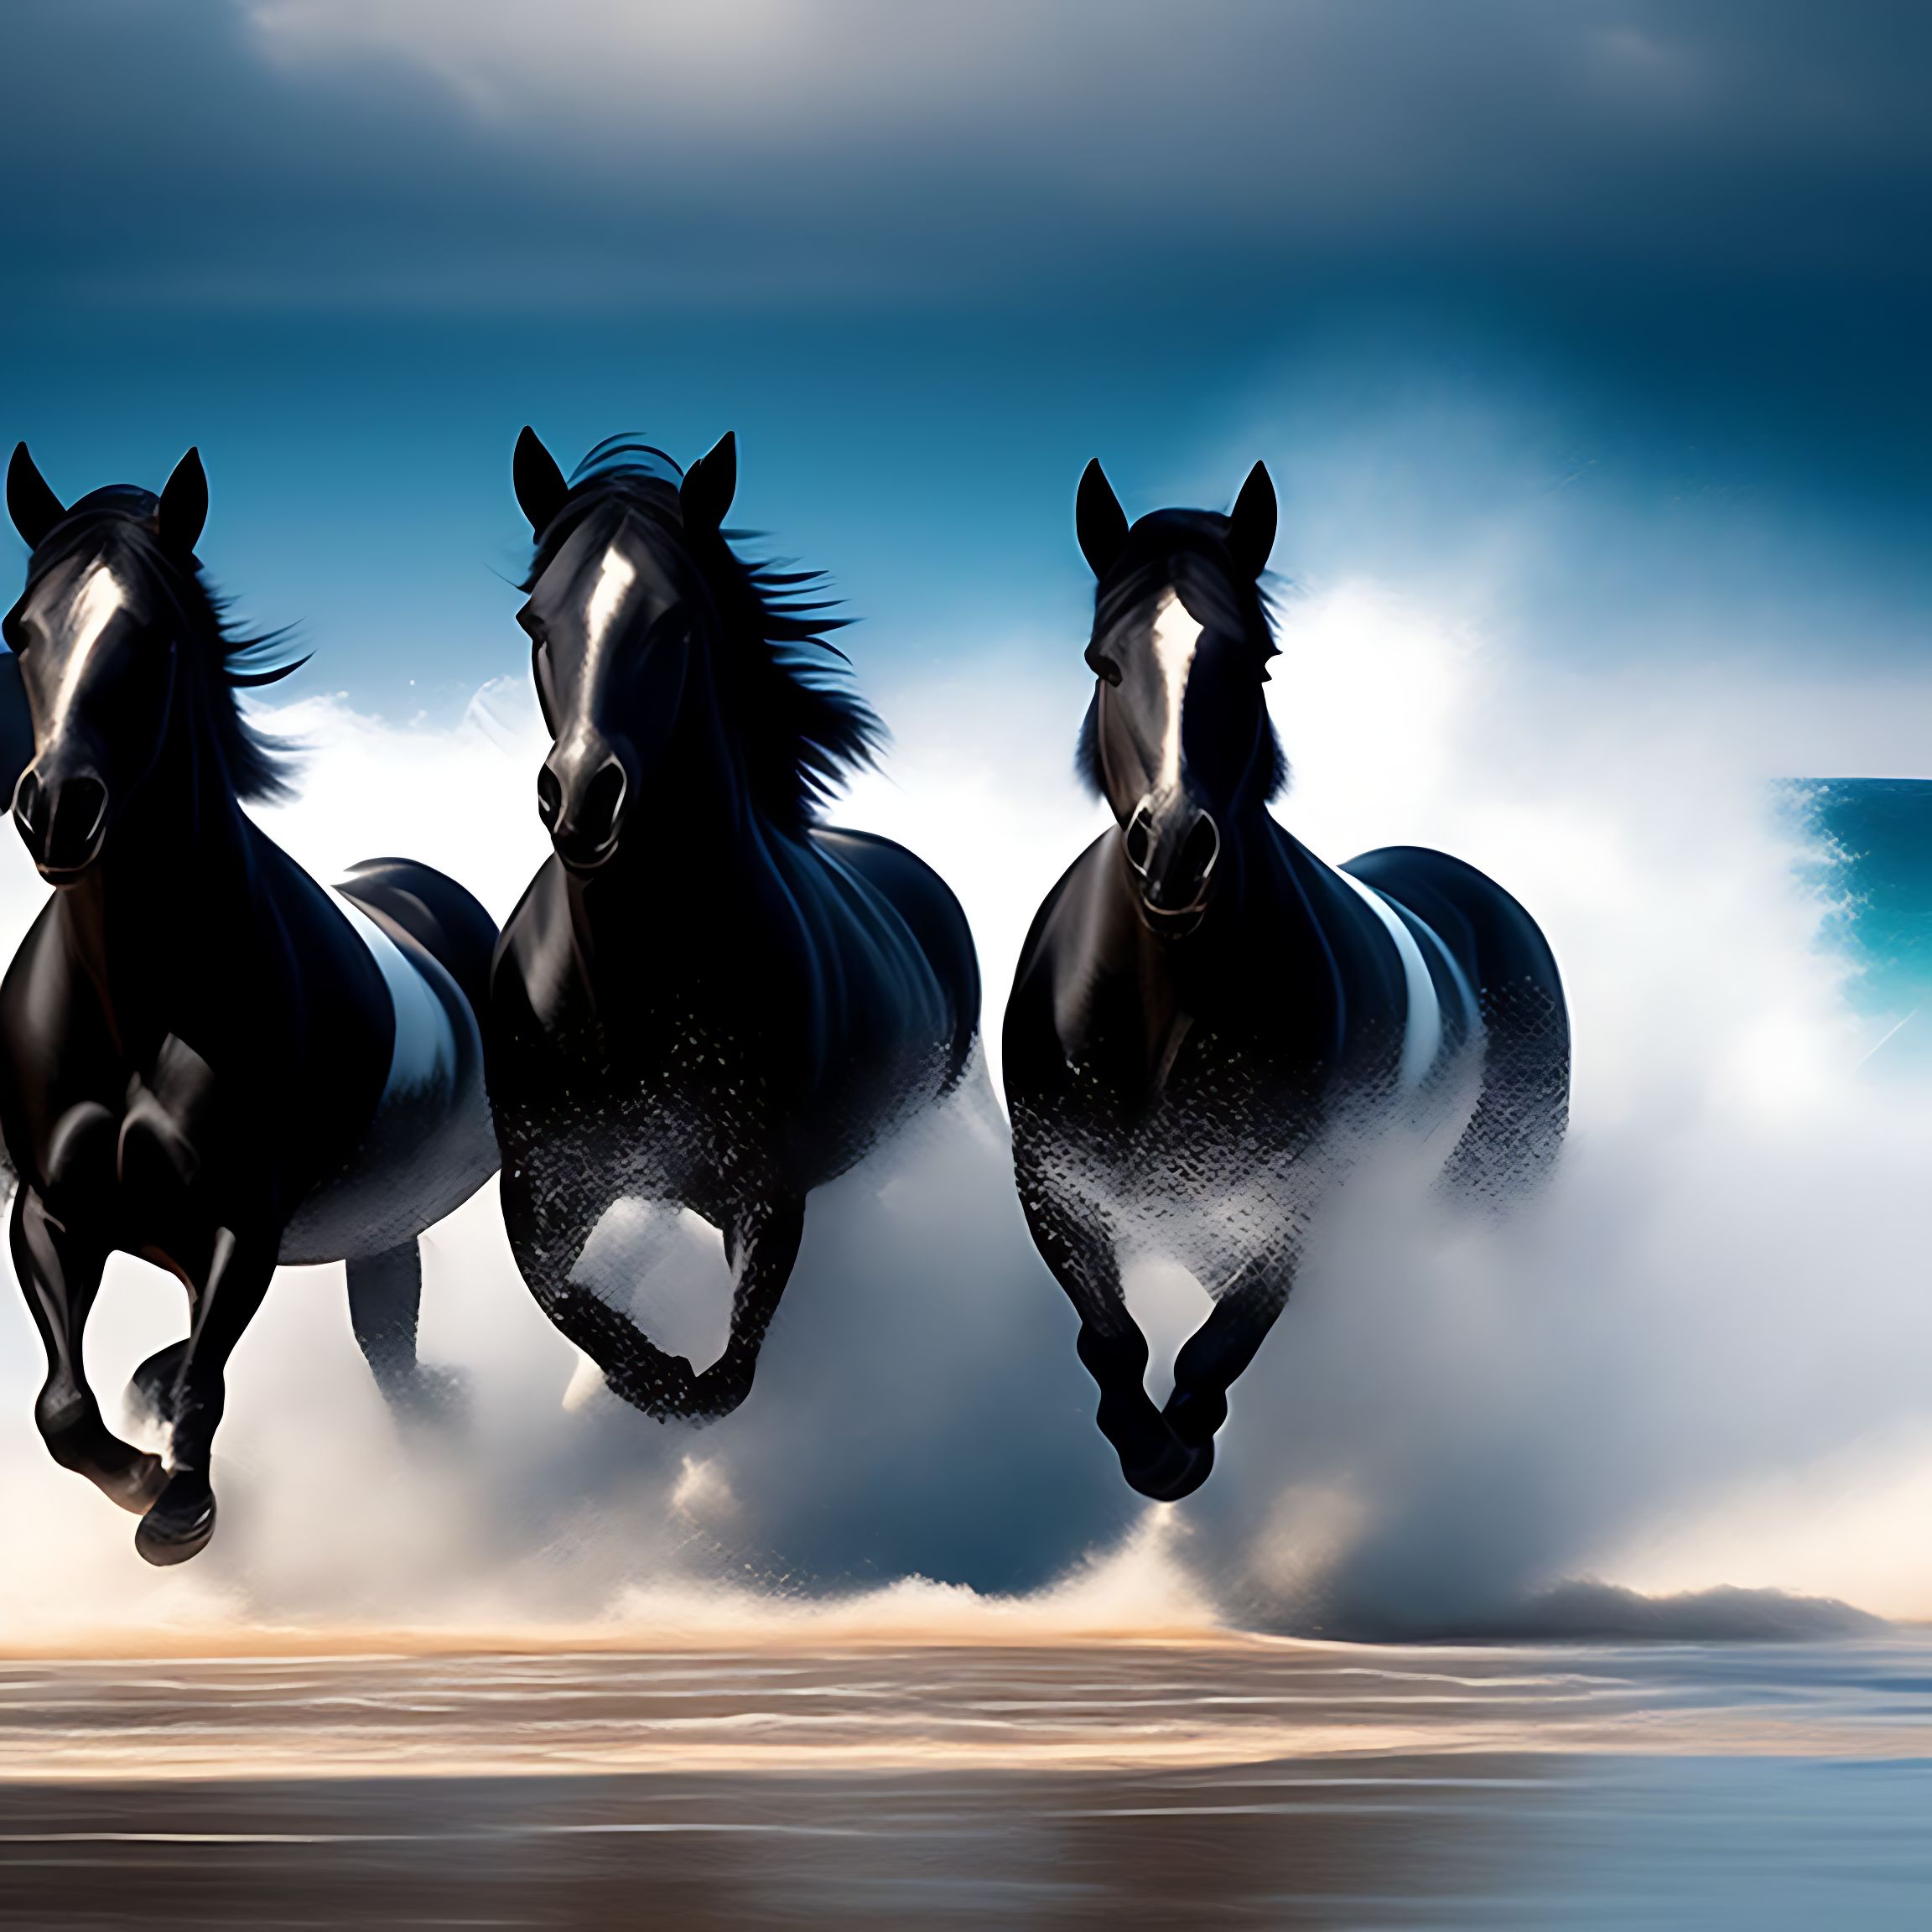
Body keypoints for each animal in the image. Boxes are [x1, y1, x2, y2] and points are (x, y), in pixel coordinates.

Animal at [0, 444, 499, 1563]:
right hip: (374, 1231)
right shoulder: (51, 1212)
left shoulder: (240, 1226)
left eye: (156, 633)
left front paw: (177, 1508)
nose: (57, 810)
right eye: (20, 627)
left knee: (379, 1363)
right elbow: (65, 1407)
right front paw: (140, 1474)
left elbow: (201, 1379)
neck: (135, 1004)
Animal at [488, 430, 979, 1423]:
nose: (583, 798)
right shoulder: (537, 1181)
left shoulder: (767, 1194)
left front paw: (662, 1382)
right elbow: (561, 1296)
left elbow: (724, 1381)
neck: (630, 993)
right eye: (534, 620)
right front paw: (630, 1373)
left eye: (674, 619)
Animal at [1003, 460, 1570, 1502]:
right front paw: (1150, 1449)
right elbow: (1111, 1339)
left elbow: (1217, 1347)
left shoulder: (1298, 1195)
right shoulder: (1053, 1182)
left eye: (1258, 664)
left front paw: (1179, 1454)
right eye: (1105, 663)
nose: (1174, 852)